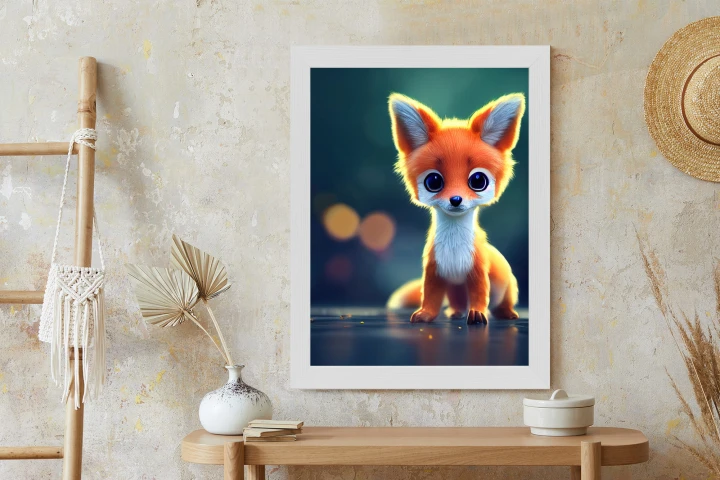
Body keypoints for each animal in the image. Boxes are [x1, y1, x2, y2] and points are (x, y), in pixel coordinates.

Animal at [386, 92, 526, 325]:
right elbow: (430, 298)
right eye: (433, 181)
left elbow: (480, 295)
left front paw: (477, 314)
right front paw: (425, 314)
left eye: (478, 180)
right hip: (455, 289)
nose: (456, 199)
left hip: (507, 288)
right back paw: (456, 312)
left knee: (502, 303)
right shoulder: (435, 272)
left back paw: (506, 313)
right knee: (457, 303)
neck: (454, 247)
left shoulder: (477, 272)